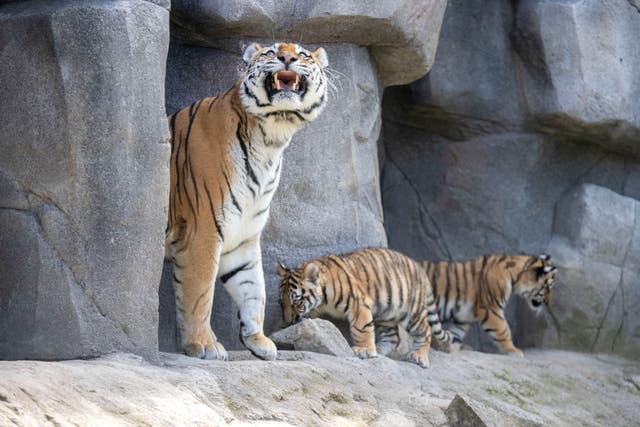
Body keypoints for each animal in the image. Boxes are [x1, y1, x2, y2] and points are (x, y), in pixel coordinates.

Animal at [165, 42, 330, 362]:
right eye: (271, 51)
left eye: (303, 54)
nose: (287, 57)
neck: (270, 139)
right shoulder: (202, 230)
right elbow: (199, 292)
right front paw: (203, 344)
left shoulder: (243, 235)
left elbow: (254, 288)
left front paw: (258, 340)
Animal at [278, 249, 450, 370]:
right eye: (282, 303)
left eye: (296, 302)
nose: (288, 320)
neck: (323, 300)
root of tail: (419, 267)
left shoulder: (358, 304)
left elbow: (361, 328)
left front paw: (364, 350)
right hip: (386, 313)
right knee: (393, 337)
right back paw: (379, 349)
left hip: (411, 312)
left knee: (425, 330)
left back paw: (419, 356)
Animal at [420, 254, 556, 358]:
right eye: (548, 287)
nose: (549, 302)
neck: (515, 278)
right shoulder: (490, 309)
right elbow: (503, 330)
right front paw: (514, 351)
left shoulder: (463, 317)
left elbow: (456, 334)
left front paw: (452, 350)